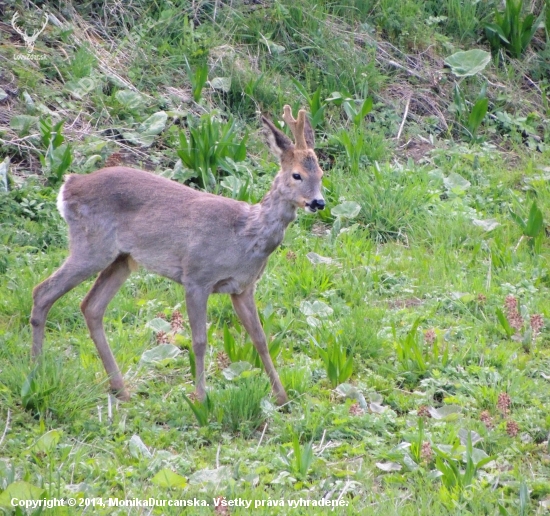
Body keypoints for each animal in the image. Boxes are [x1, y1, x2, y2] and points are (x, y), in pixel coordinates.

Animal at [31, 106, 328, 404]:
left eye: (321, 173)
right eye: (297, 175)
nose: (319, 202)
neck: (245, 235)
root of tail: (69, 185)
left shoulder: (243, 287)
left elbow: (260, 339)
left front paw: (282, 396)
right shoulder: (196, 276)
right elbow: (200, 341)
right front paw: (201, 398)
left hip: (121, 259)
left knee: (91, 307)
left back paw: (121, 389)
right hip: (91, 246)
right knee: (42, 291)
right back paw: (38, 370)